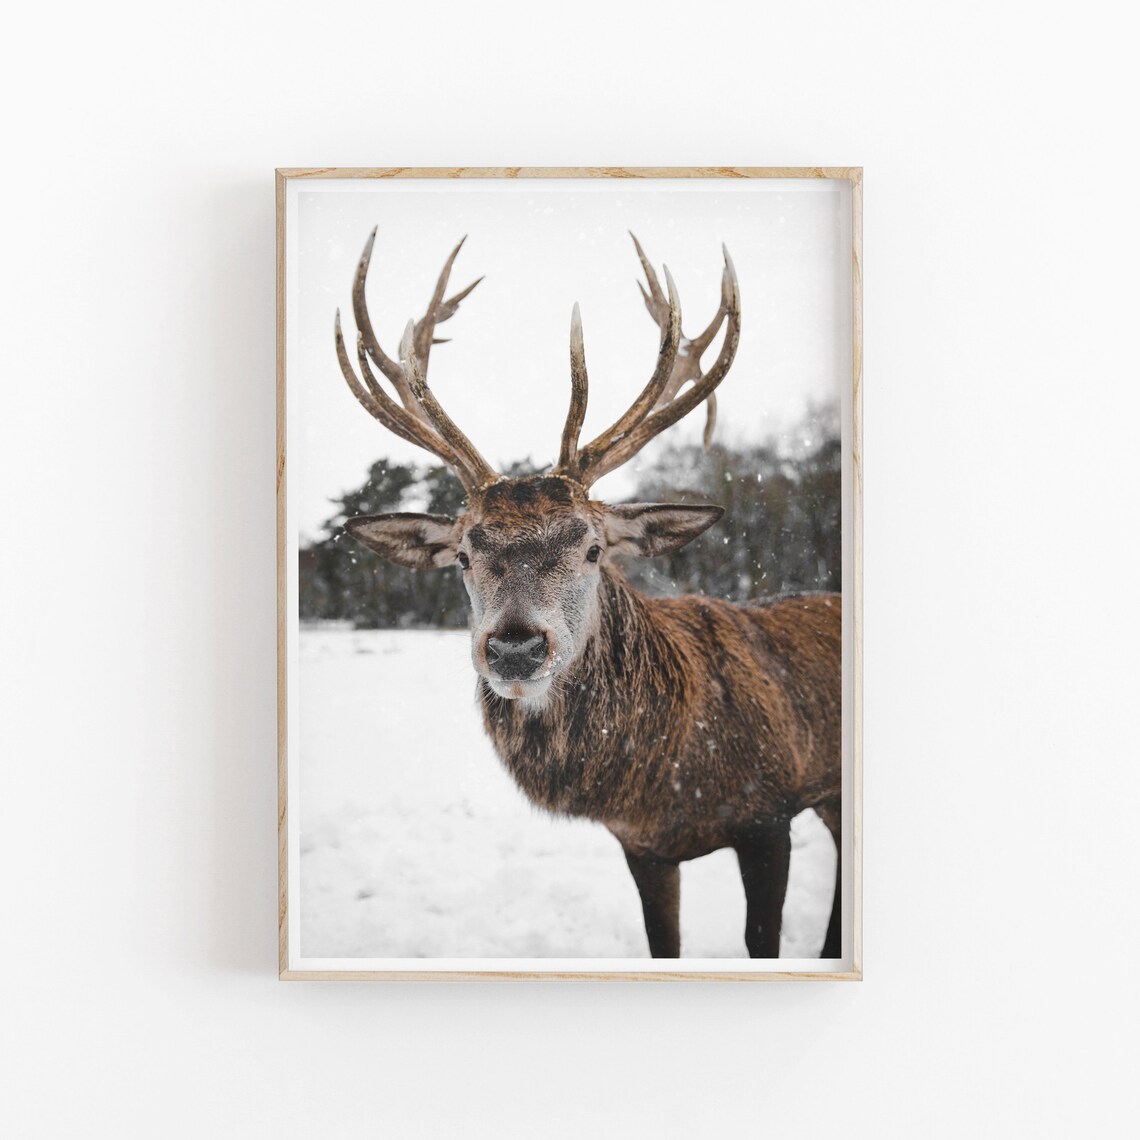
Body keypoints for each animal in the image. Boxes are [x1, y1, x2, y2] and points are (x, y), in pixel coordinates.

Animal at [332, 229, 842, 959]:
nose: (516, 648)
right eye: (463, 556)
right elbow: (663, 944)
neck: (668, 778)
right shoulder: (642, 847)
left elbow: (761, 939)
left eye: (594, 548)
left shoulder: (770, 812)